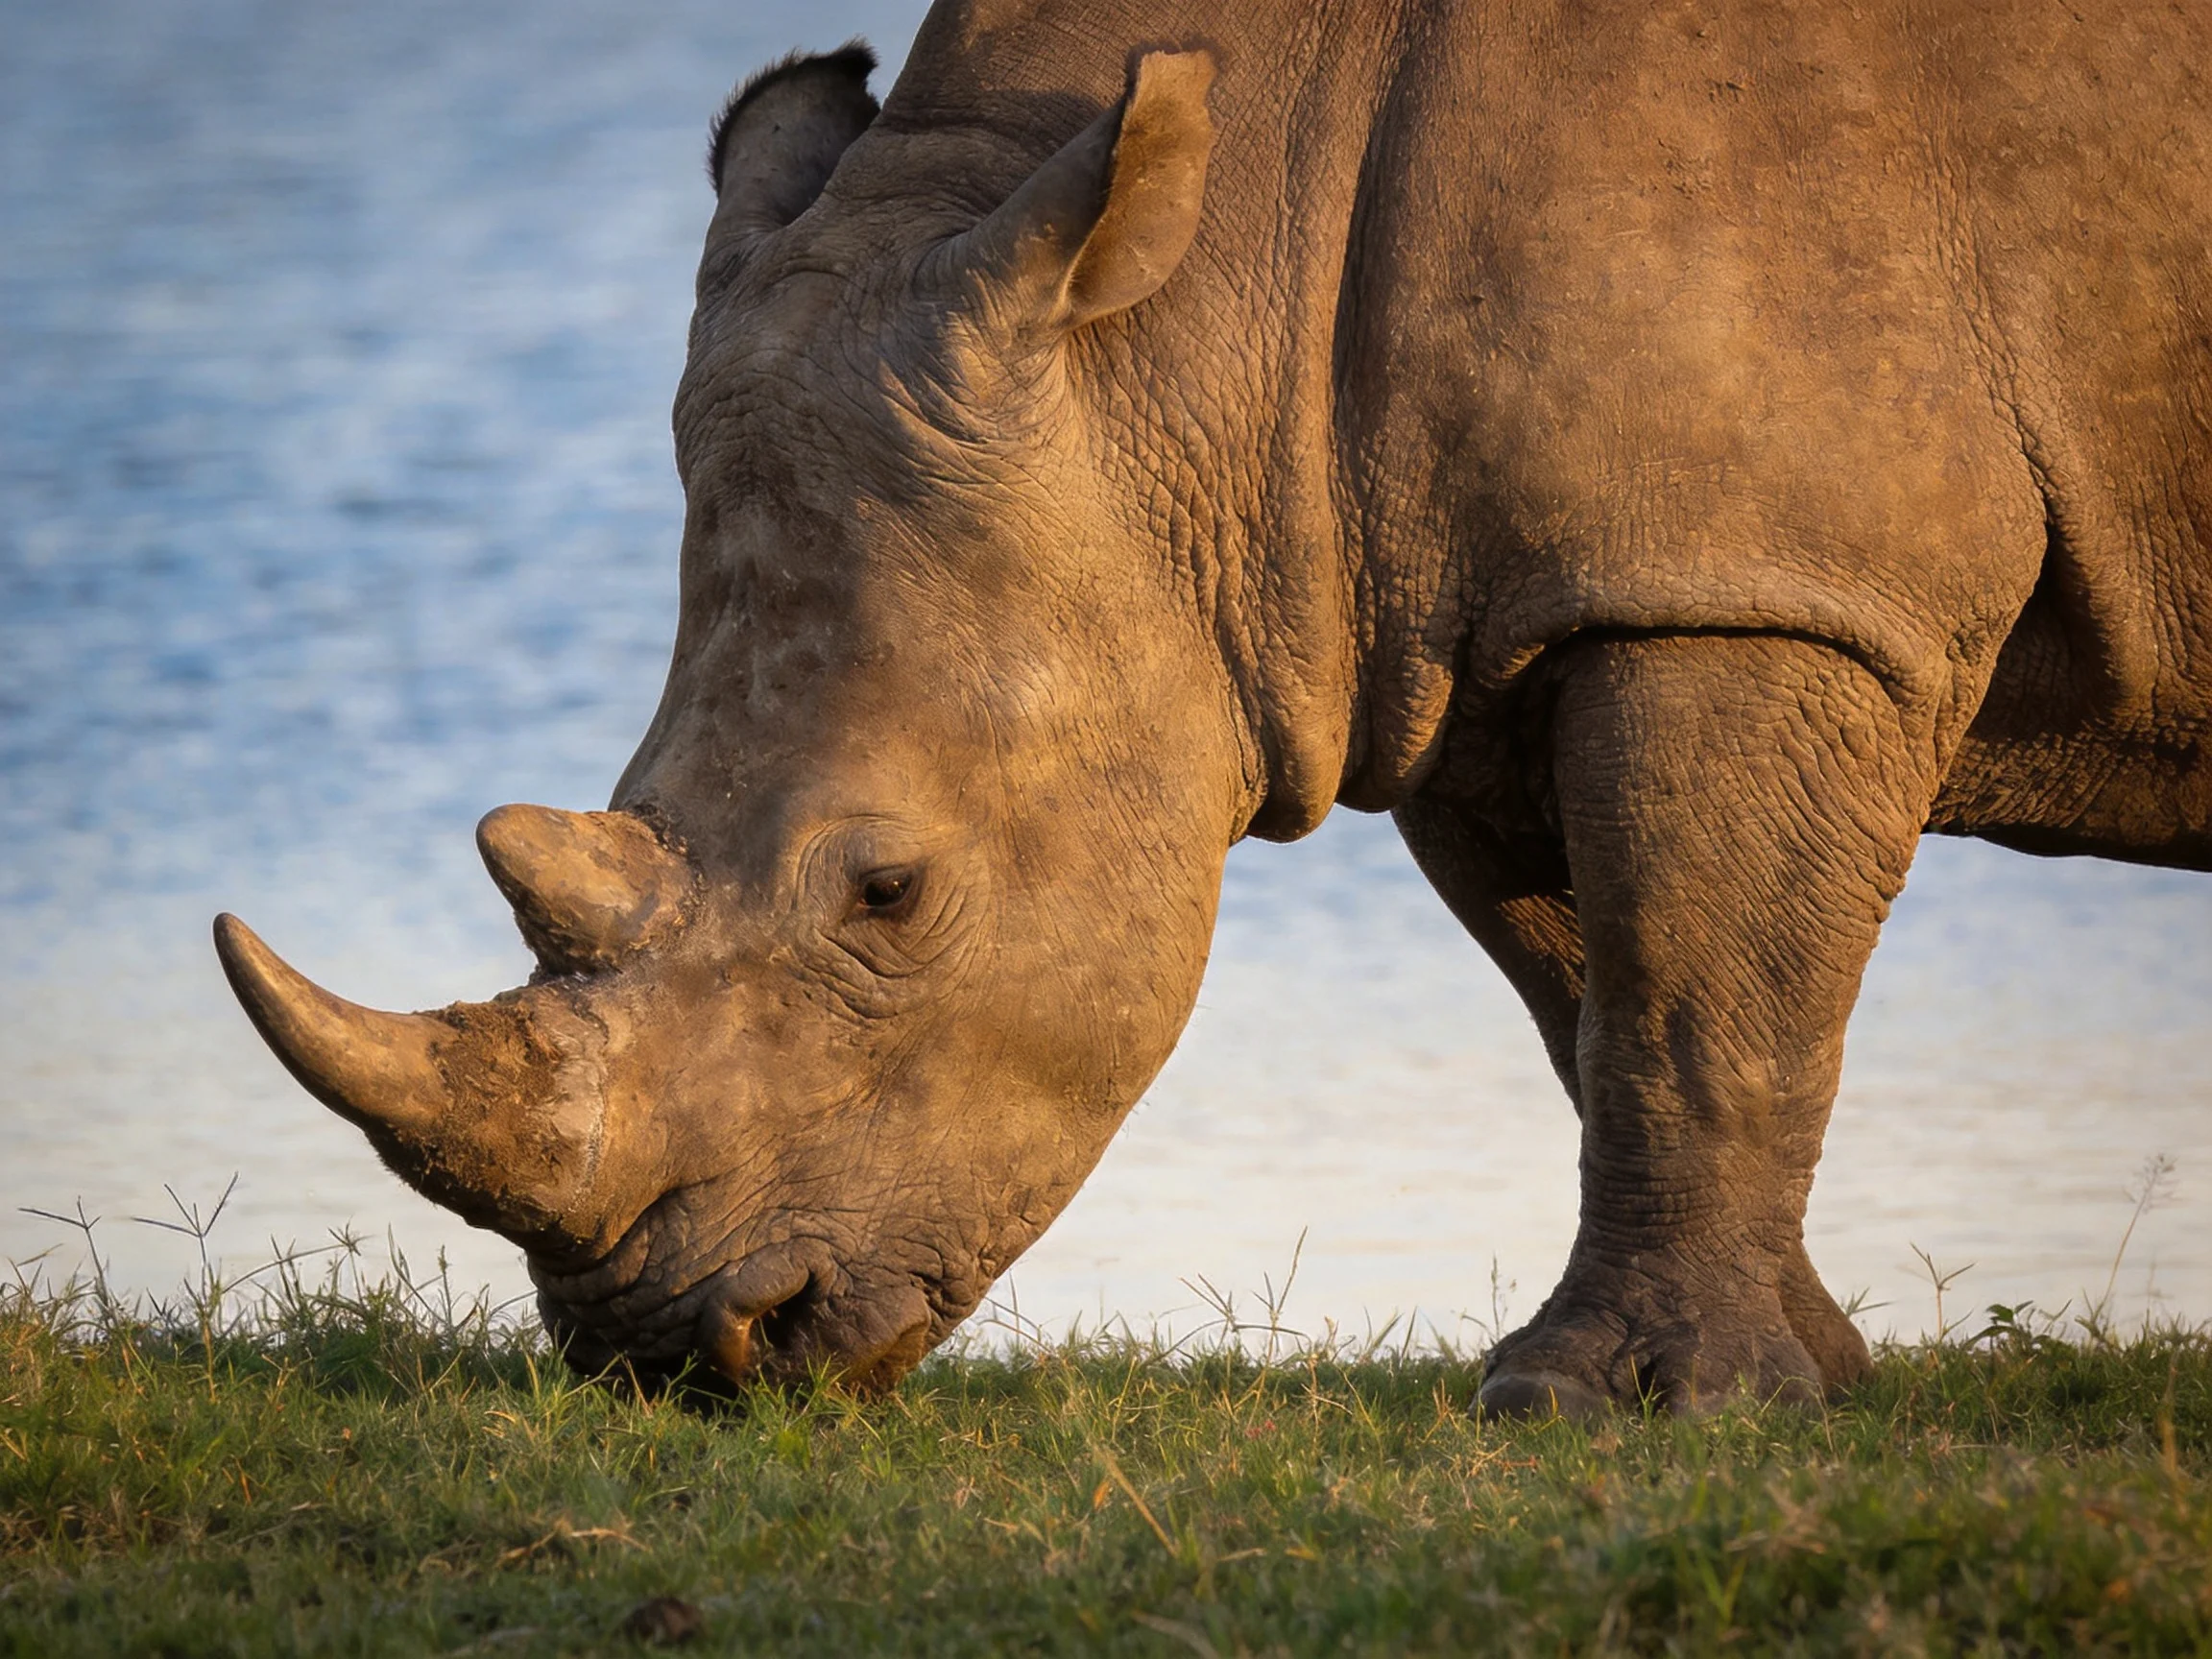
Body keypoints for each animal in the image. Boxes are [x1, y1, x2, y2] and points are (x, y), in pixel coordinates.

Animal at [215, 0, 2211, 1415]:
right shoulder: (1467, 617)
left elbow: (1691, 991)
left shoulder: (1745, 569)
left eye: (888, 894)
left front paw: (1628, 1408)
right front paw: (1780, 1376)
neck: (1209, 300)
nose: (676, 1347)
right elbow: (1602, 990)